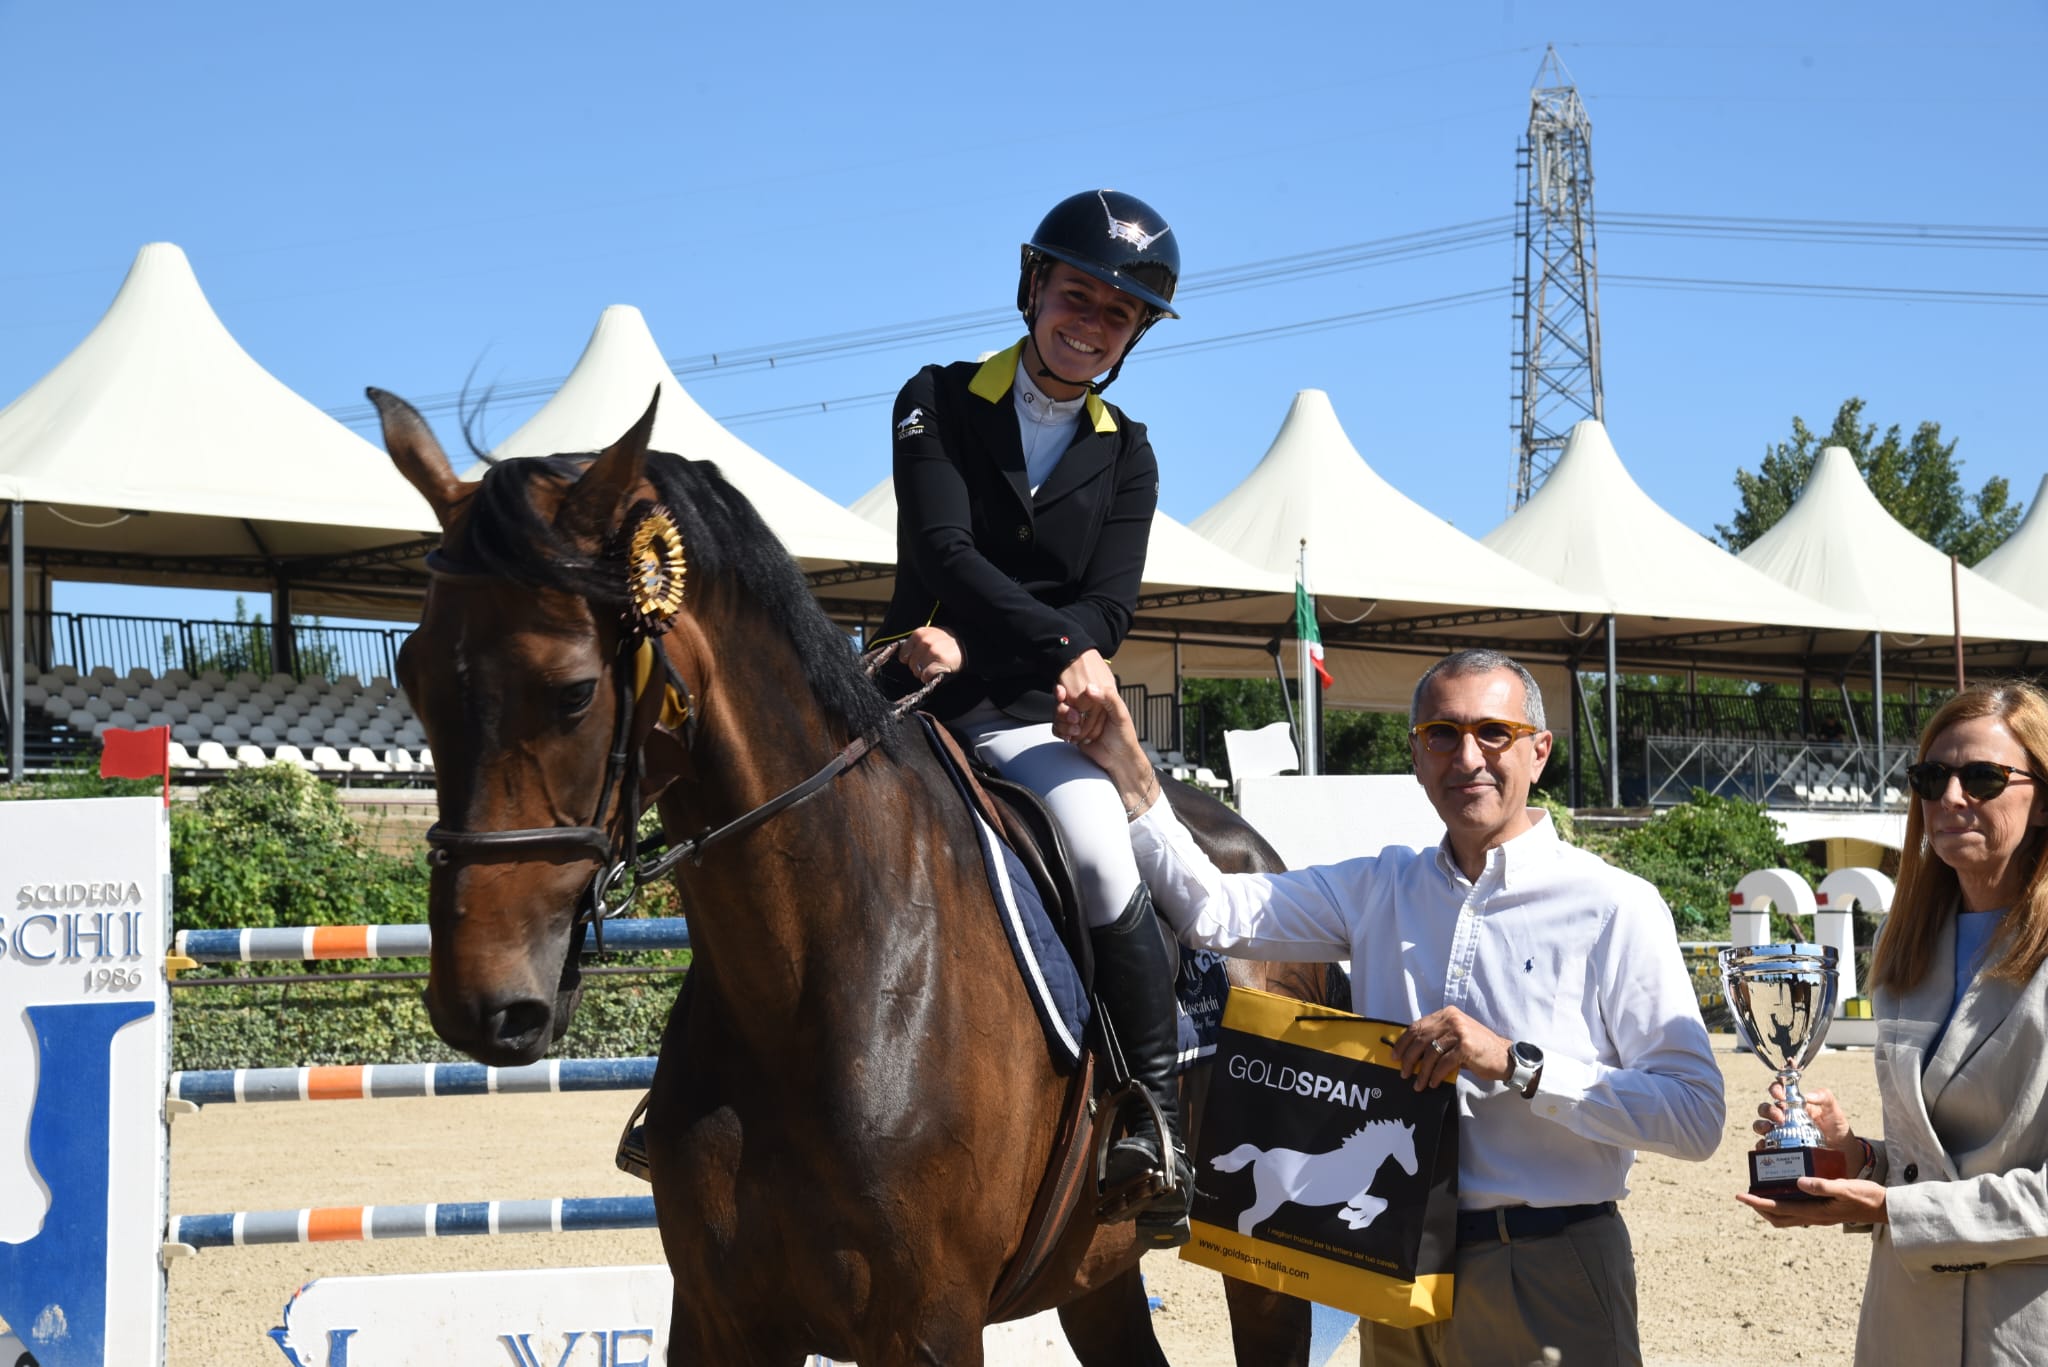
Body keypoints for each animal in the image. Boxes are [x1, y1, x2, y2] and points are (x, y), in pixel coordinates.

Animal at [371, 388, 1349, 1366]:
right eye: (410, 674)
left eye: (573, 690)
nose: (481, 1003)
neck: (802, 980)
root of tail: (1260, 854)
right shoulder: (719, 1314)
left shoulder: (928, 1325)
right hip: (1093, 1267)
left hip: (1258, 1269)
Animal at [1210, 1120, 1419, 1236]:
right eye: (1409, 1145)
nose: (1414, 1170)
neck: (1358, 1159)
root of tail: (1261, 1156)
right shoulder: (1355, 1196)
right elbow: (1381, 1204)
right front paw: (1355, 1220)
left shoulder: (1356, 1197)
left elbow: (1378, 1204)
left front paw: (1349, 1216)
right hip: (1268, 1201)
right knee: (1246, 1217)